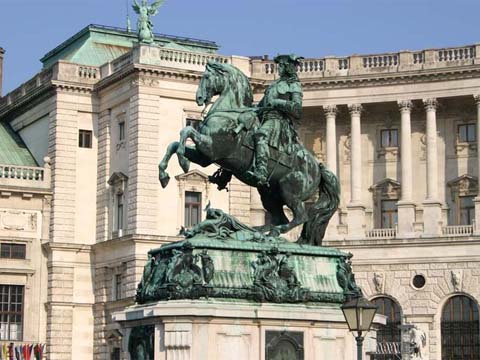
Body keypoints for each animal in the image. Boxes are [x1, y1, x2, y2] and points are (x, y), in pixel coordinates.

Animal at [158, 62, 338, 248]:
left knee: (300, 216)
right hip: (269, 193)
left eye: (207, 77)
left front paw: (182, 161)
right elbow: (173, 144)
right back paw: (251, 231)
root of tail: (318, 167)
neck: (229, 114)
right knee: (280, 217)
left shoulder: (211, 148)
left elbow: (186, 132)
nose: (199, 98)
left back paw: (270, 232)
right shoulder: (204, 157)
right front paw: (164, 174)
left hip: (289, 190)